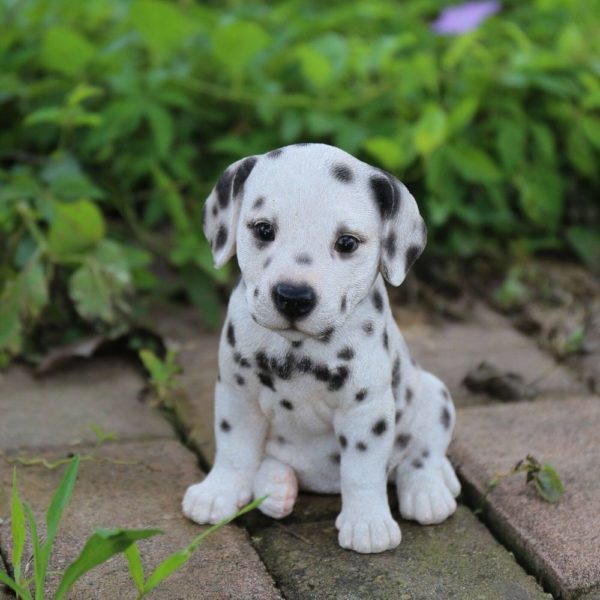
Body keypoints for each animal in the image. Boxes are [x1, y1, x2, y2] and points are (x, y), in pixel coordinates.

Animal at [182, 142, 460, 552]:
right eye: (264, 230)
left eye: (346, 242)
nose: (293, 297)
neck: (299, 347)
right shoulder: (237, 393)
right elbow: (234, 450)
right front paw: (218, 492)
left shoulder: (365, 411)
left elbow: (362, 470)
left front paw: (367, 523)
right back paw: (276, 486)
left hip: (433, 395)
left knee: (421, 454)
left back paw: (428, 490)